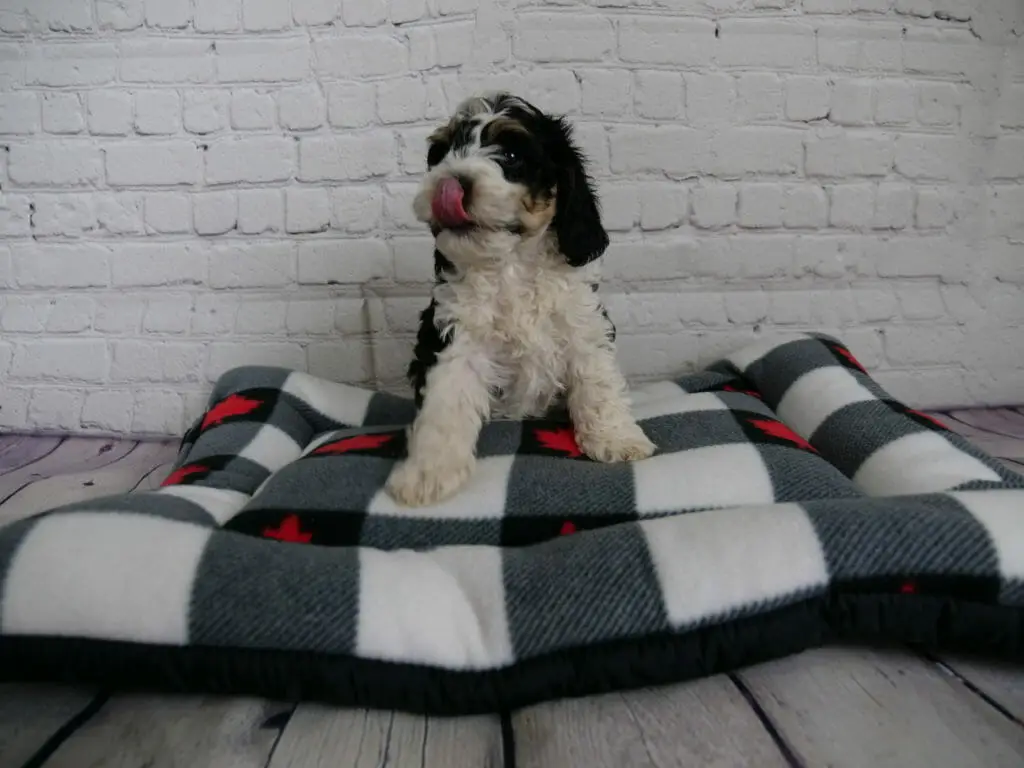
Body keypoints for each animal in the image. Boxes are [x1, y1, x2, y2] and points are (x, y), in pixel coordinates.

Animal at [385, 91, 655, 512]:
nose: (450, 182)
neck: (511, 263)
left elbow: (598, 381)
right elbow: (445, 406)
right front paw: (428, 474)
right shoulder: (455, 340)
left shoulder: (583, 325)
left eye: (511, 155)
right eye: (440, 154)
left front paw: (616, 439)